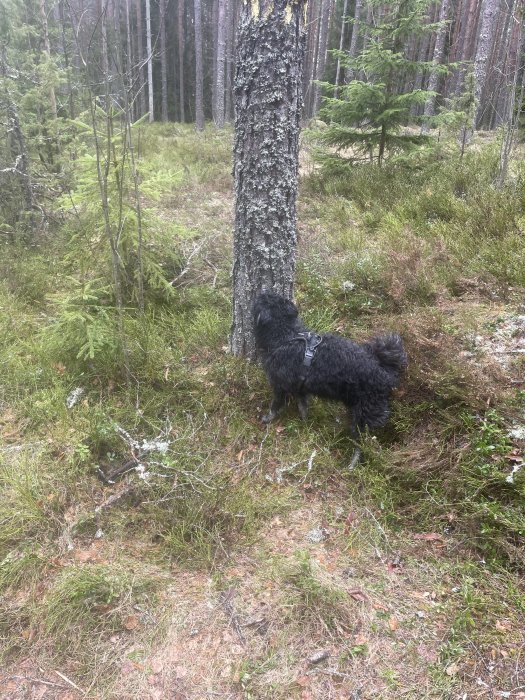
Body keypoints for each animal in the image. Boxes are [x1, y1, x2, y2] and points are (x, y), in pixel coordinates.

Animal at [252, 292, 408, 446]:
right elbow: (303, 408)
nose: (262, 291)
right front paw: (305, 423)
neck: (287, 336)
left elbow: (275, 406)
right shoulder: (300, 388)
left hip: (368, 410)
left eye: (261, 299)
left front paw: (267, 418)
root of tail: (385, 371)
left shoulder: (279, 386)